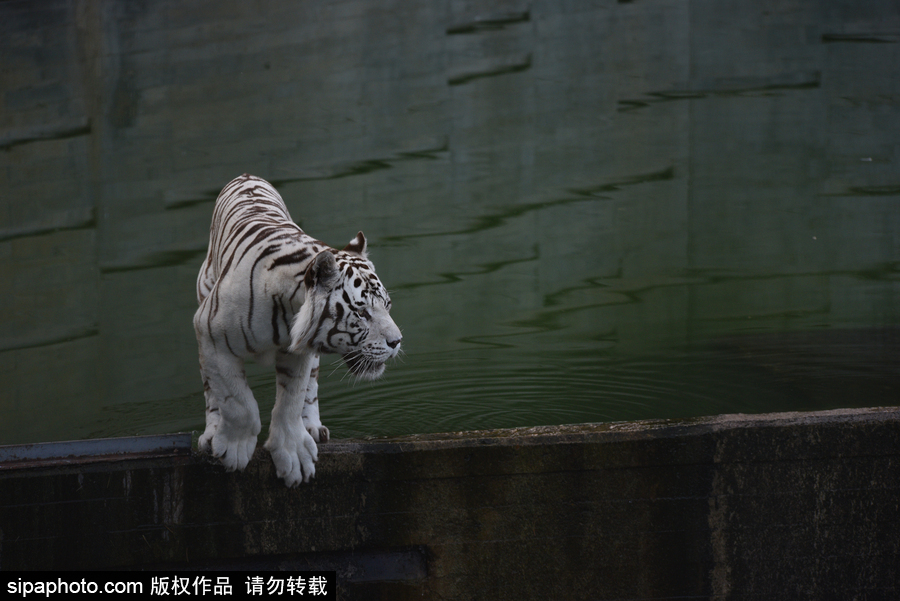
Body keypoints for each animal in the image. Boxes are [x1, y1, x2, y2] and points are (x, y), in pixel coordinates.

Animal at [193, 174, 402, 487]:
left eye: (387, 305)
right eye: (362, 312)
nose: (397, 342)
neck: (289, 310)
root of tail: (246, 176)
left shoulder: (299, 352)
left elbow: (291, 400)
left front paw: (294, 456)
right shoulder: (212, 335)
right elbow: (237, 401)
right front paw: (234, 449)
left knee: (310, 388)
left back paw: (313, 428)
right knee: (211, 391)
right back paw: (211, 433)